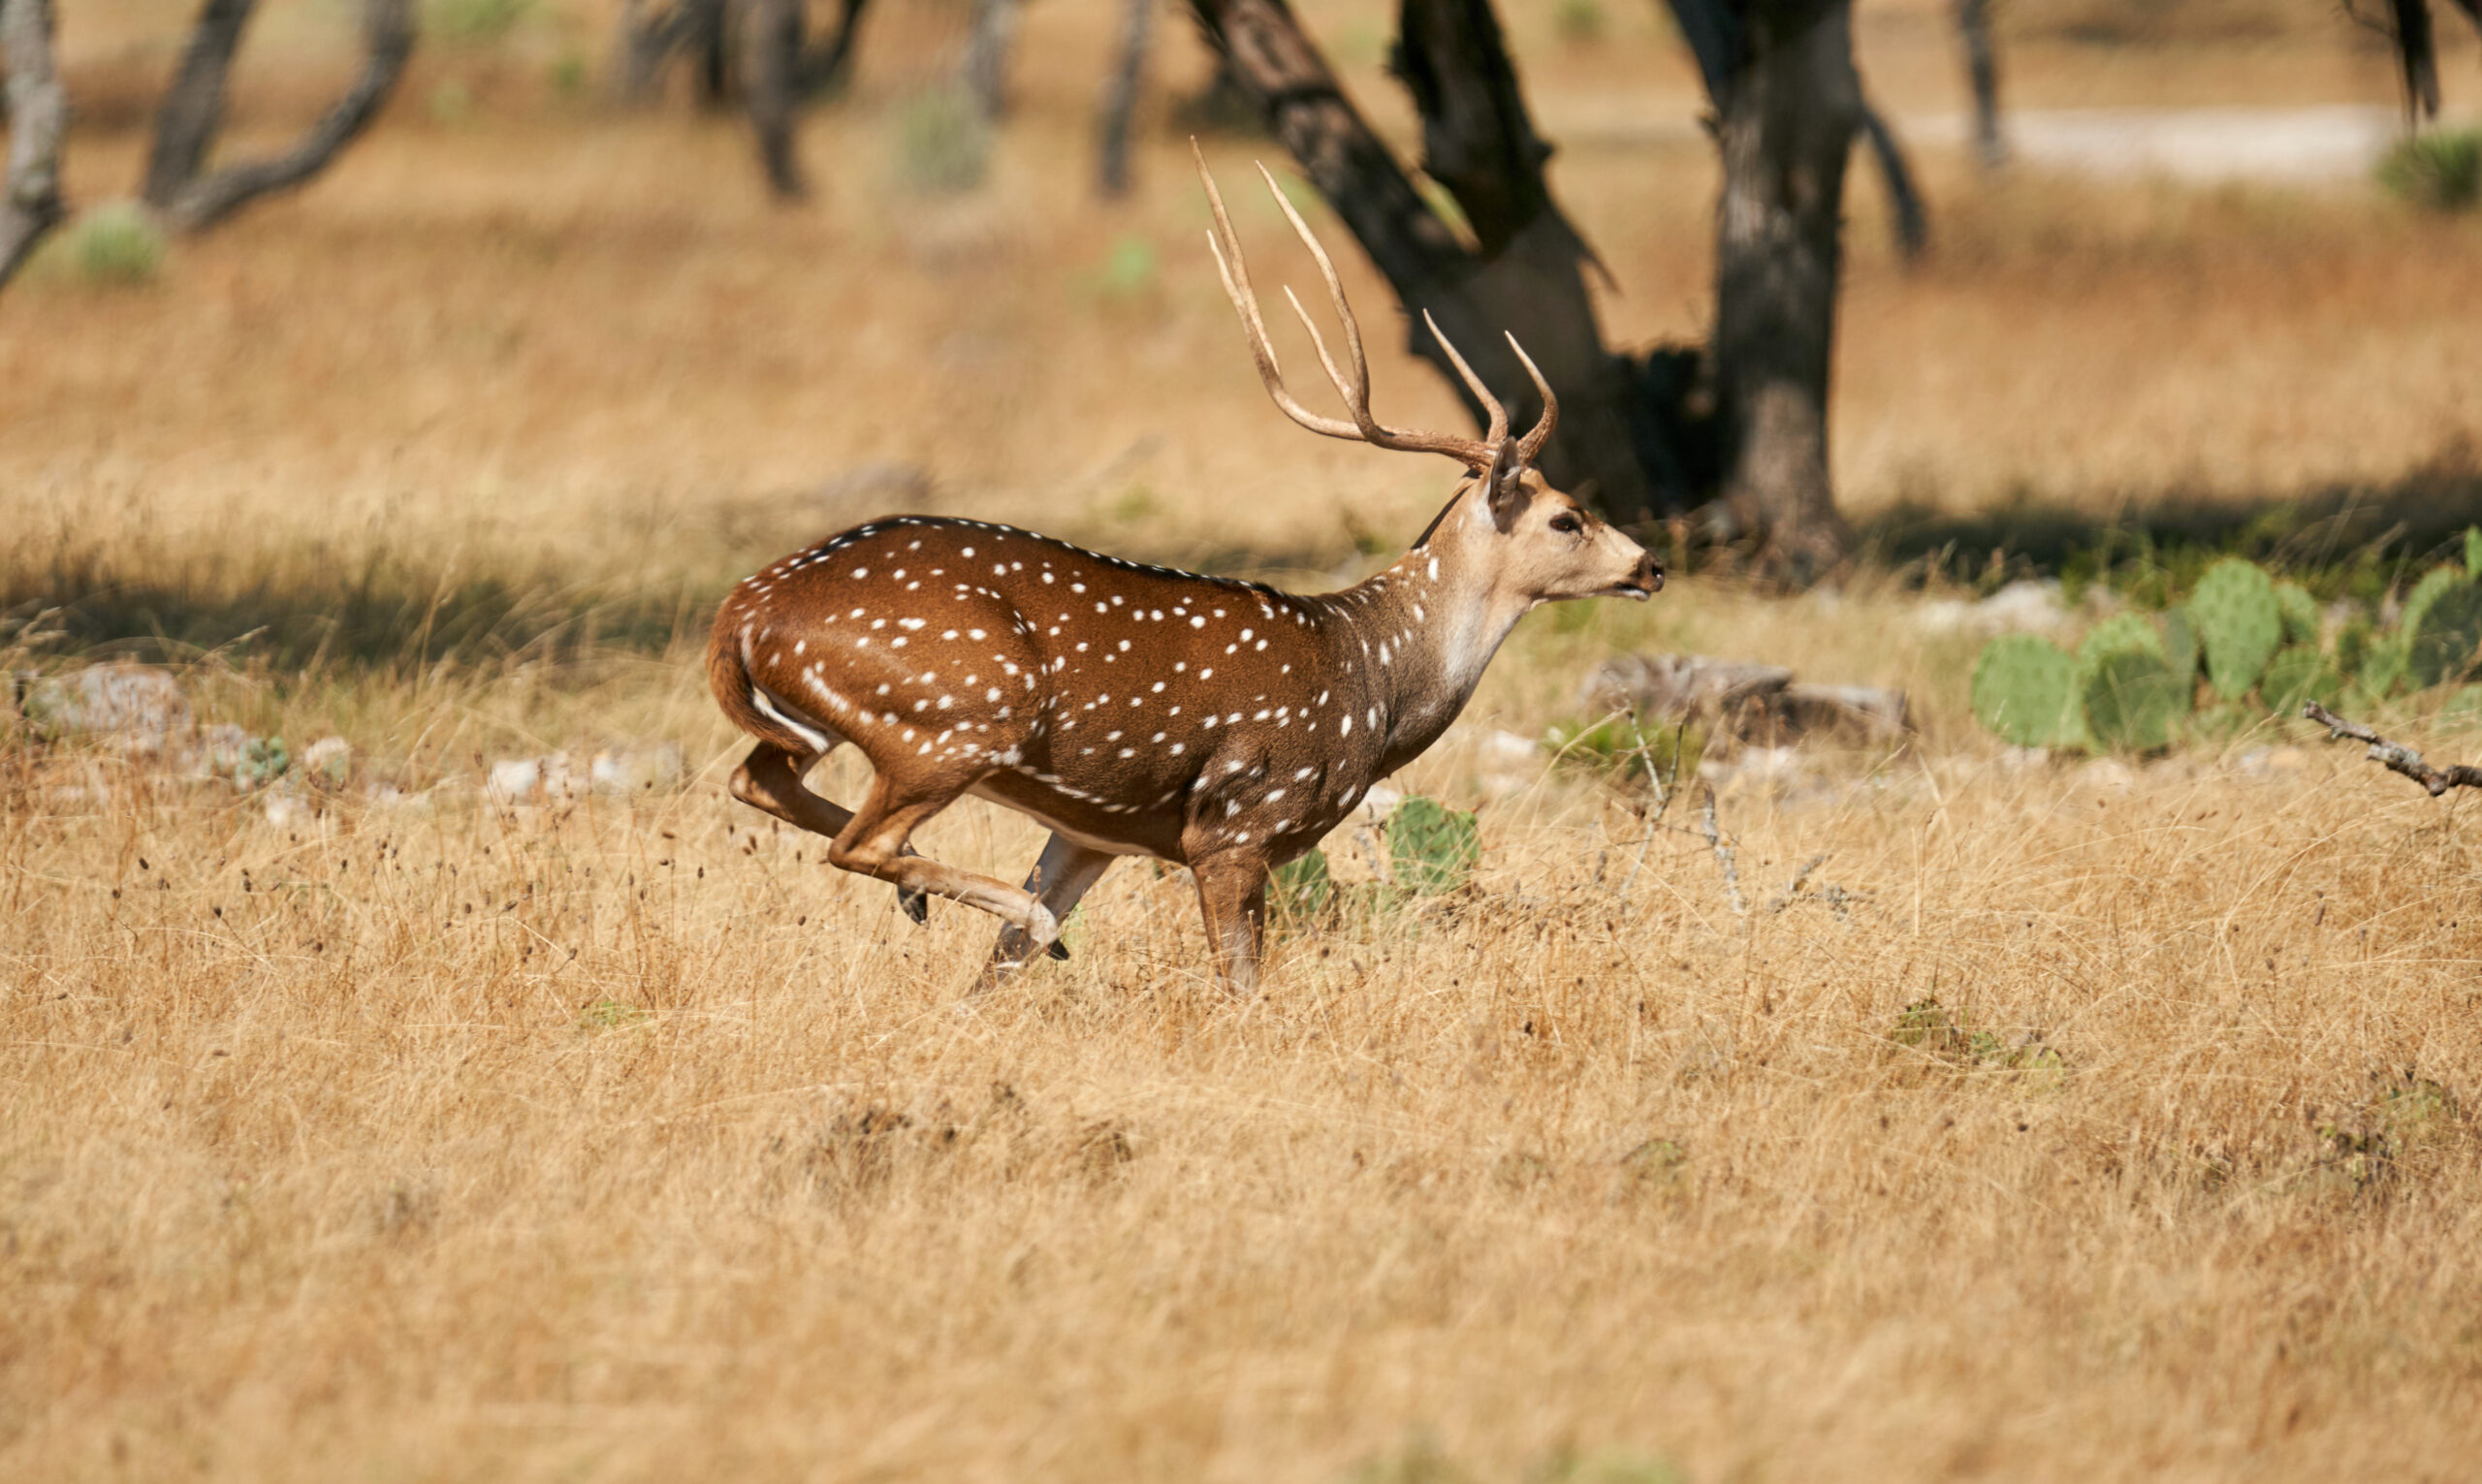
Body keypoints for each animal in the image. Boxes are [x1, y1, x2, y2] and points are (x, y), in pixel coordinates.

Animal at [705, 151, 1668, 993]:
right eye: (1567, 516)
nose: (1652, 565)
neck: (1375, 682)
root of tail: (742, 610)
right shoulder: (1239, 825)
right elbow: (1243, 987)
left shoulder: (1096, 831)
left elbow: (993, 978)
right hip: (958, 715)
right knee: (856, 839)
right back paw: (979, 902)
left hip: (836, 722)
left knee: (762, 781)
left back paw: (955, 904)